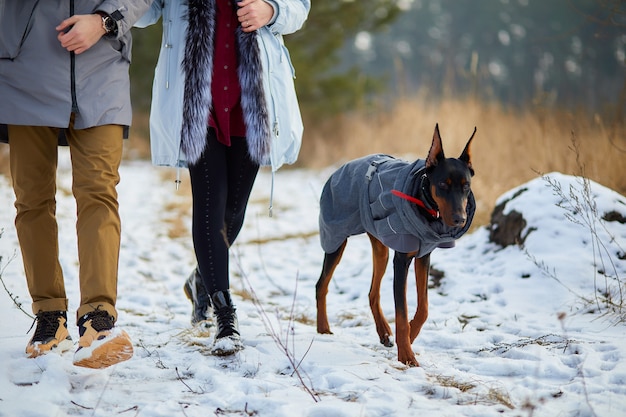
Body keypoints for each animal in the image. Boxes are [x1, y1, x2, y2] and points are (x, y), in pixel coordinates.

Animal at [314, 122, 476, 364]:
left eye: (466, 186)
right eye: (442, 185)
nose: (460, 219)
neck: (423, 201)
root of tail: (337, 170)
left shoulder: (423, 256)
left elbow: (423, 308)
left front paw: (411, 334)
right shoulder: (402, 260)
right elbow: (402, 312)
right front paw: (407, 355)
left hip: (380, 248)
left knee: (372, 292)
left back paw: (384, 333)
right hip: (335, 238)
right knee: (321, 285)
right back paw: (323, 328)